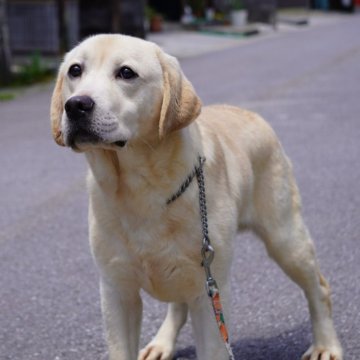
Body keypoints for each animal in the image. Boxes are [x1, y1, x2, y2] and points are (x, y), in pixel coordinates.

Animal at [49, 33, 342, 360]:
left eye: (126, 73)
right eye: (75, 70)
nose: (76, 105)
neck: (140, 191)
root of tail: (250, 113)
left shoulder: (210, 291)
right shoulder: (116, 291)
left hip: (285, 239)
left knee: (320, 288)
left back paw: (326, 345)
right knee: (178, 305)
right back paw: (162, 343)